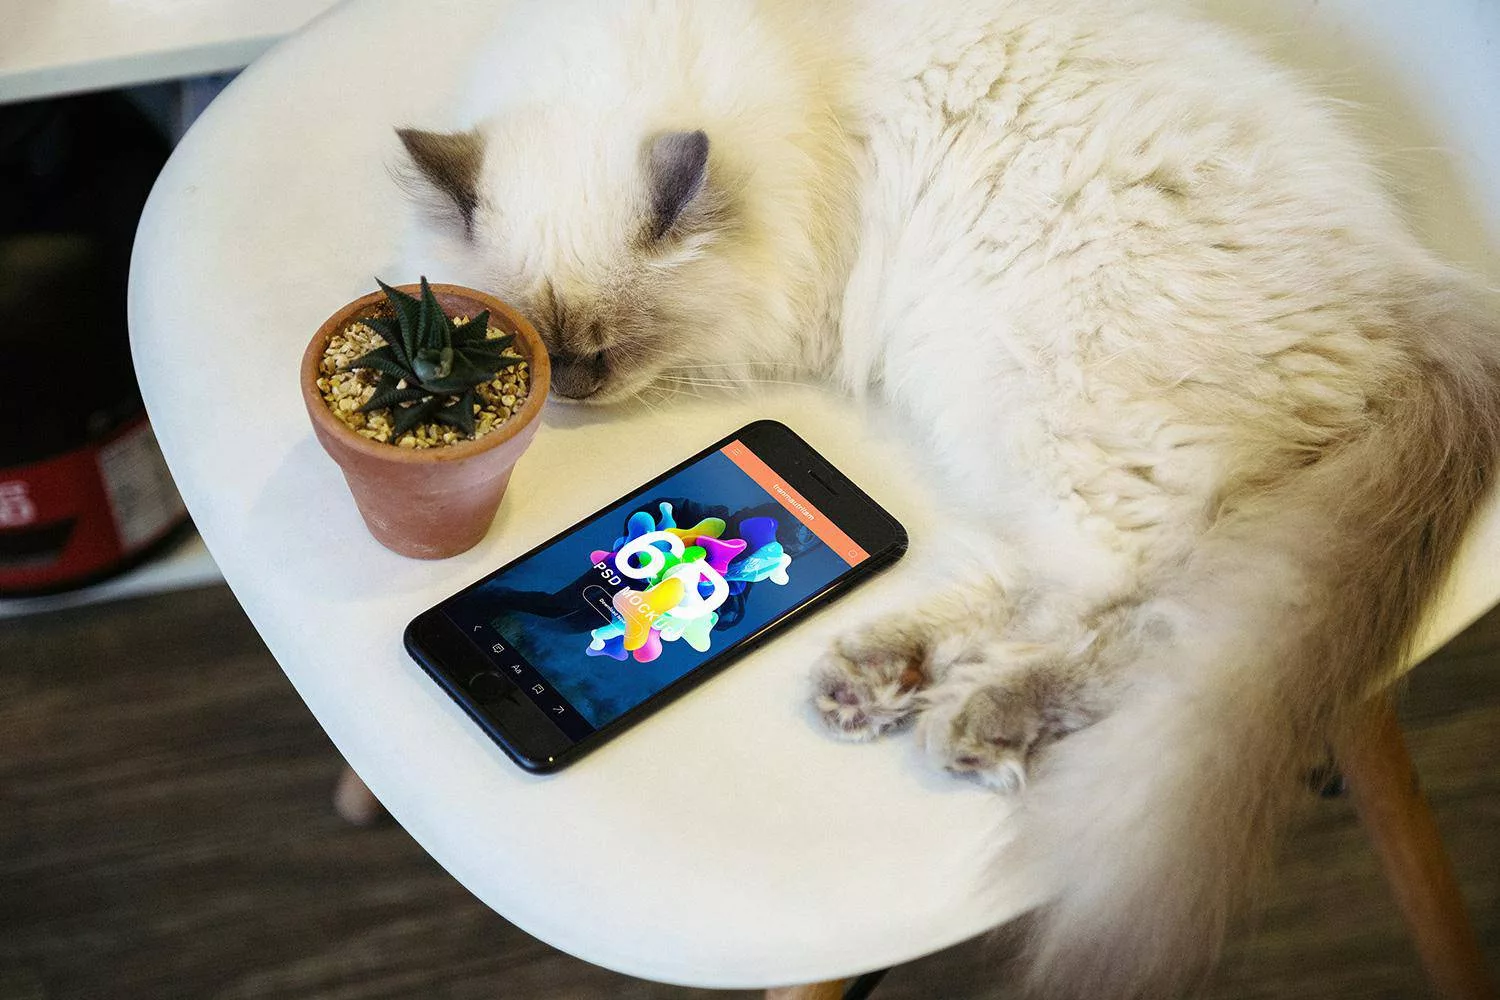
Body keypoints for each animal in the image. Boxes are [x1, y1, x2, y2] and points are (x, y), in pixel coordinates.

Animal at [394, 0, 1500, 996]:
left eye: (608, 345)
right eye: (538, 344)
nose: (575, 390)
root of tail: (1413, 288)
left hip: (1052, 423)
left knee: (1140, 611)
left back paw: (961, 714)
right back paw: (887, 685)